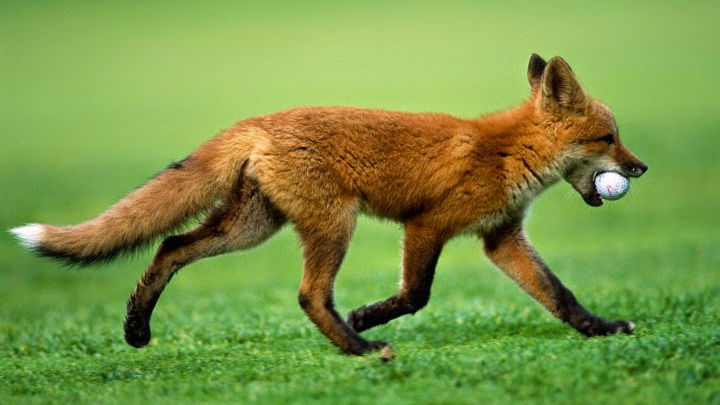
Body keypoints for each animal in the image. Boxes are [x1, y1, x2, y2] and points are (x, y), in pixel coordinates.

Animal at [11, 54, 647, 359]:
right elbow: (416, 294)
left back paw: (137, 327)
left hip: (250, 227)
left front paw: (600, 328)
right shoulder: (428, 224)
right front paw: (368, 317)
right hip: (332, 224)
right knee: (309, 296)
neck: (510, 151)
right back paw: (359, 347)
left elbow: (559, 295)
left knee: (170, 244)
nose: (641, 169)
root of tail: (259, 121)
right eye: (609, 138)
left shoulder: (501, 238)